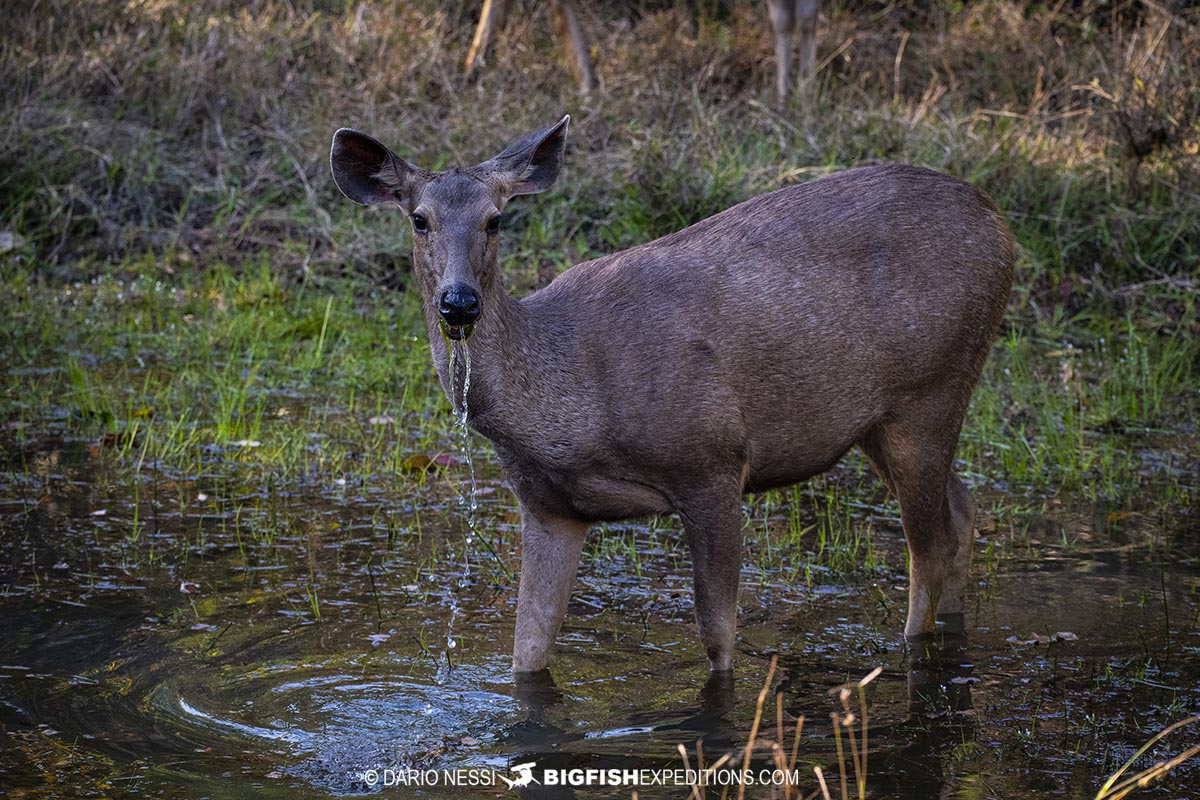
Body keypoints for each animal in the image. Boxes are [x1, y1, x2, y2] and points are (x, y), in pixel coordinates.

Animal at [333, 117, 1017, 676]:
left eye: (495, 219)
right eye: (419, 218)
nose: (459, 303)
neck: (570, 406)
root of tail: (999, 223)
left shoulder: (712, 461)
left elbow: (717, 639)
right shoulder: (549, 505)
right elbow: (527, 651)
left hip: (931, 385)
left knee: (929, 549)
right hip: (878, 417)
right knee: (963, 511)